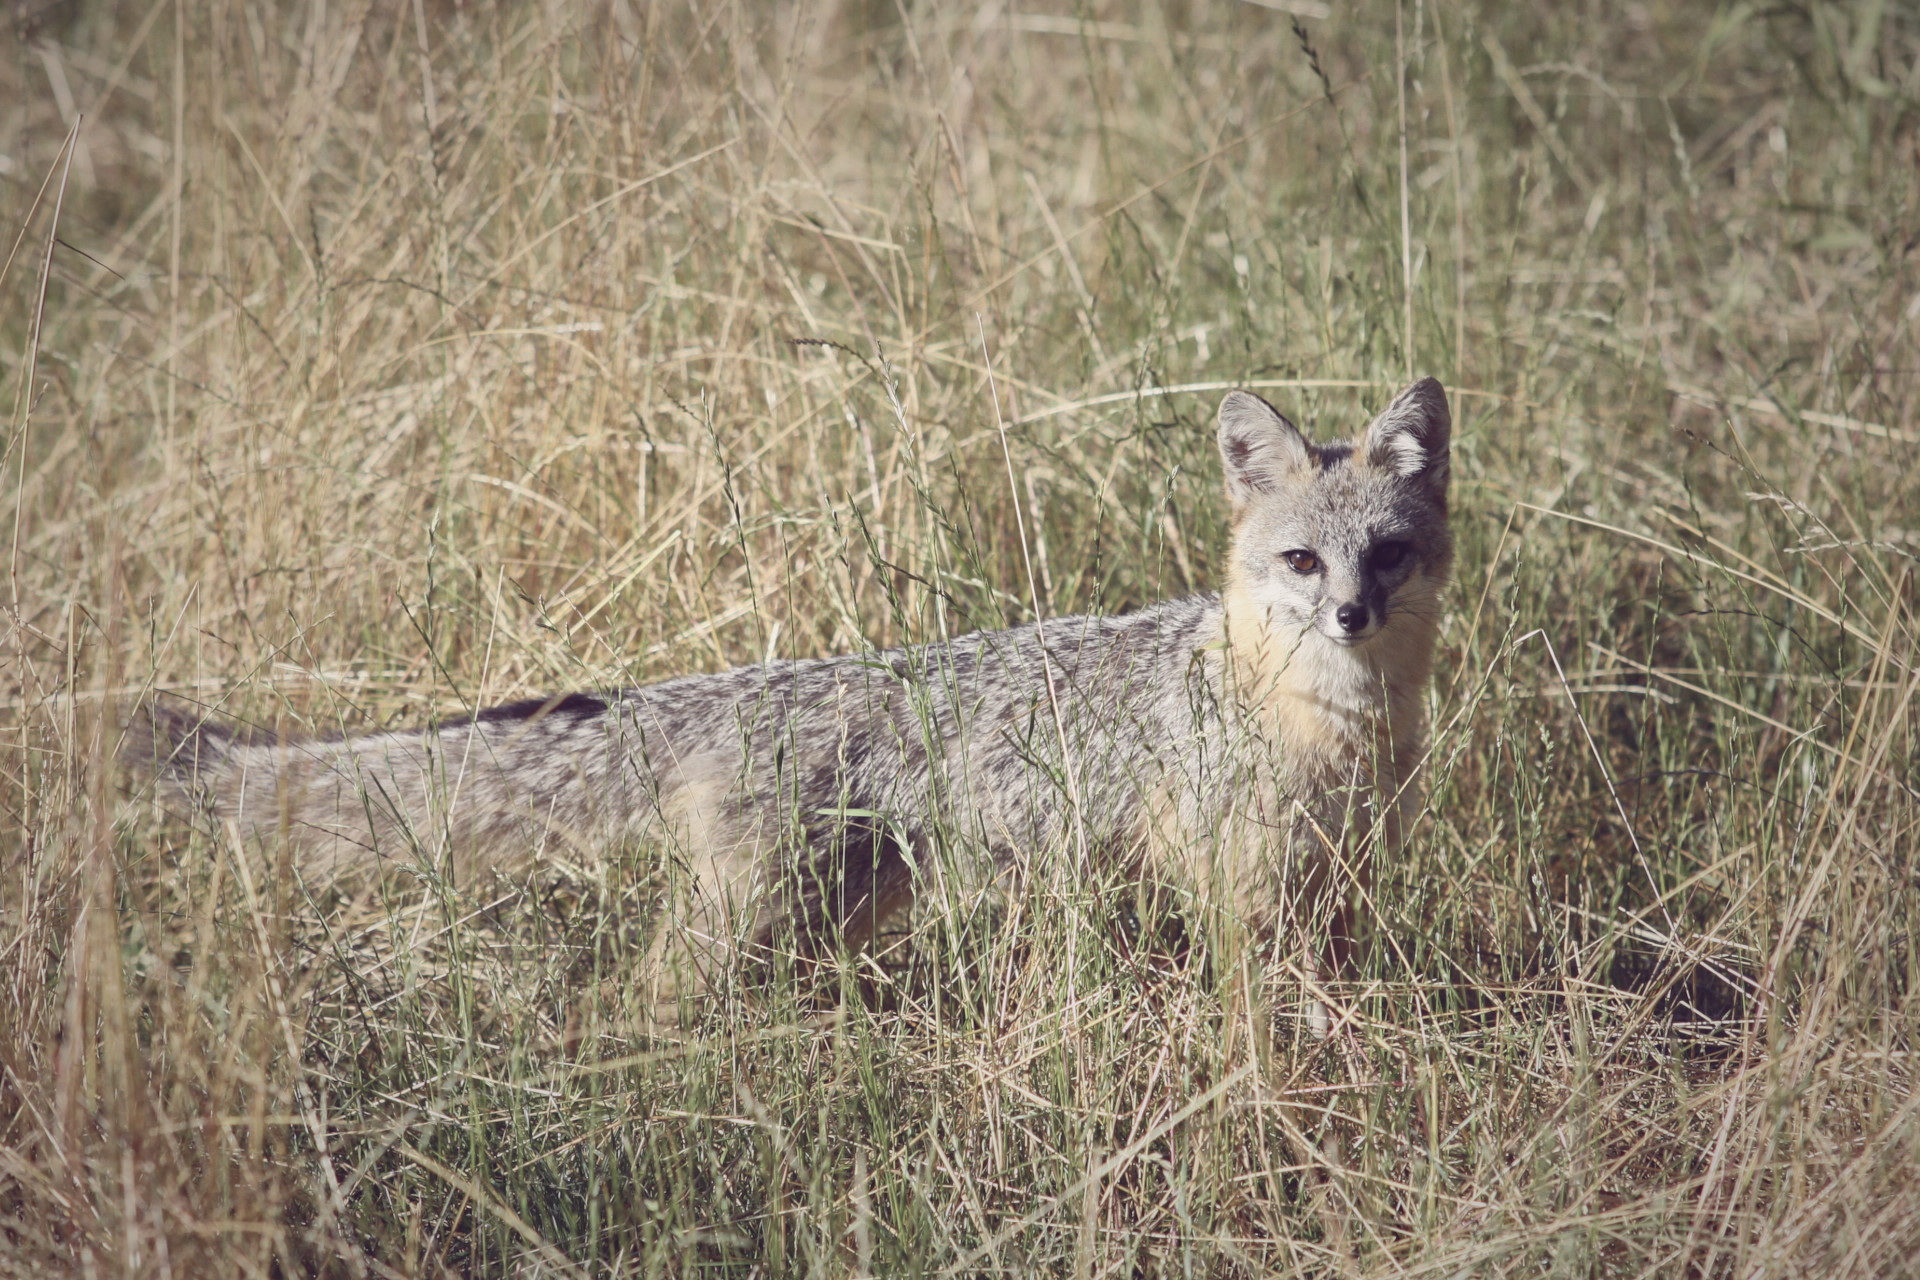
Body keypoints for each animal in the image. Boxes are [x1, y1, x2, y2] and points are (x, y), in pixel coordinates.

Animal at [128, 377, 1453, 1005]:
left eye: (1387, 554)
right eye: (1302, 560)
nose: (1351, 613)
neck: (1328, 723)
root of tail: (721, 687)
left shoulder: (1328, 890)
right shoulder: (1244, 895)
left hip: (827, 919)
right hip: (749, 926)